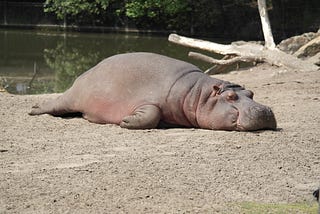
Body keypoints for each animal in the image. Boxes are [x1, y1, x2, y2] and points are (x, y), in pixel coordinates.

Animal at [28, 52, 276, 131]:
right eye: (231, 97)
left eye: (251, 93)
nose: (264, 110)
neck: (198, 94)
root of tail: (84, 74)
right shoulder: (148, 101)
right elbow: (151, 114)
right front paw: (126, 121)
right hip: (72, 98)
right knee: (55, 104)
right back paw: (34, 109)